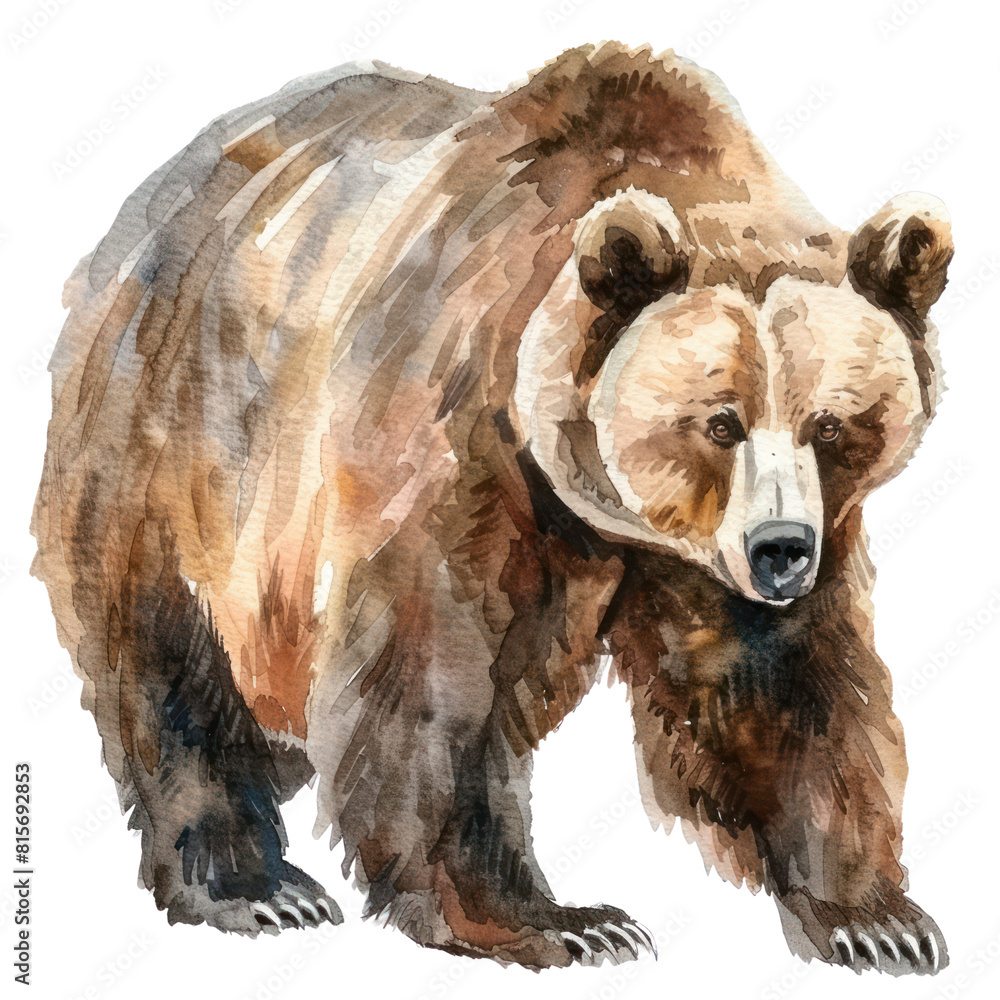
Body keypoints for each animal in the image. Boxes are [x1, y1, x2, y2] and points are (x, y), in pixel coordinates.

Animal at [32, 41, 954, 976]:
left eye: (831, 423)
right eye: (719, 421)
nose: (780, 550)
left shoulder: (753, 545)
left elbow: (784, 682)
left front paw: (874, 920)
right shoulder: (448, 432)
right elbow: (430, 675)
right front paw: (551, 920)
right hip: (173, 440)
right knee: (169, 661)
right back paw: (255, 887)